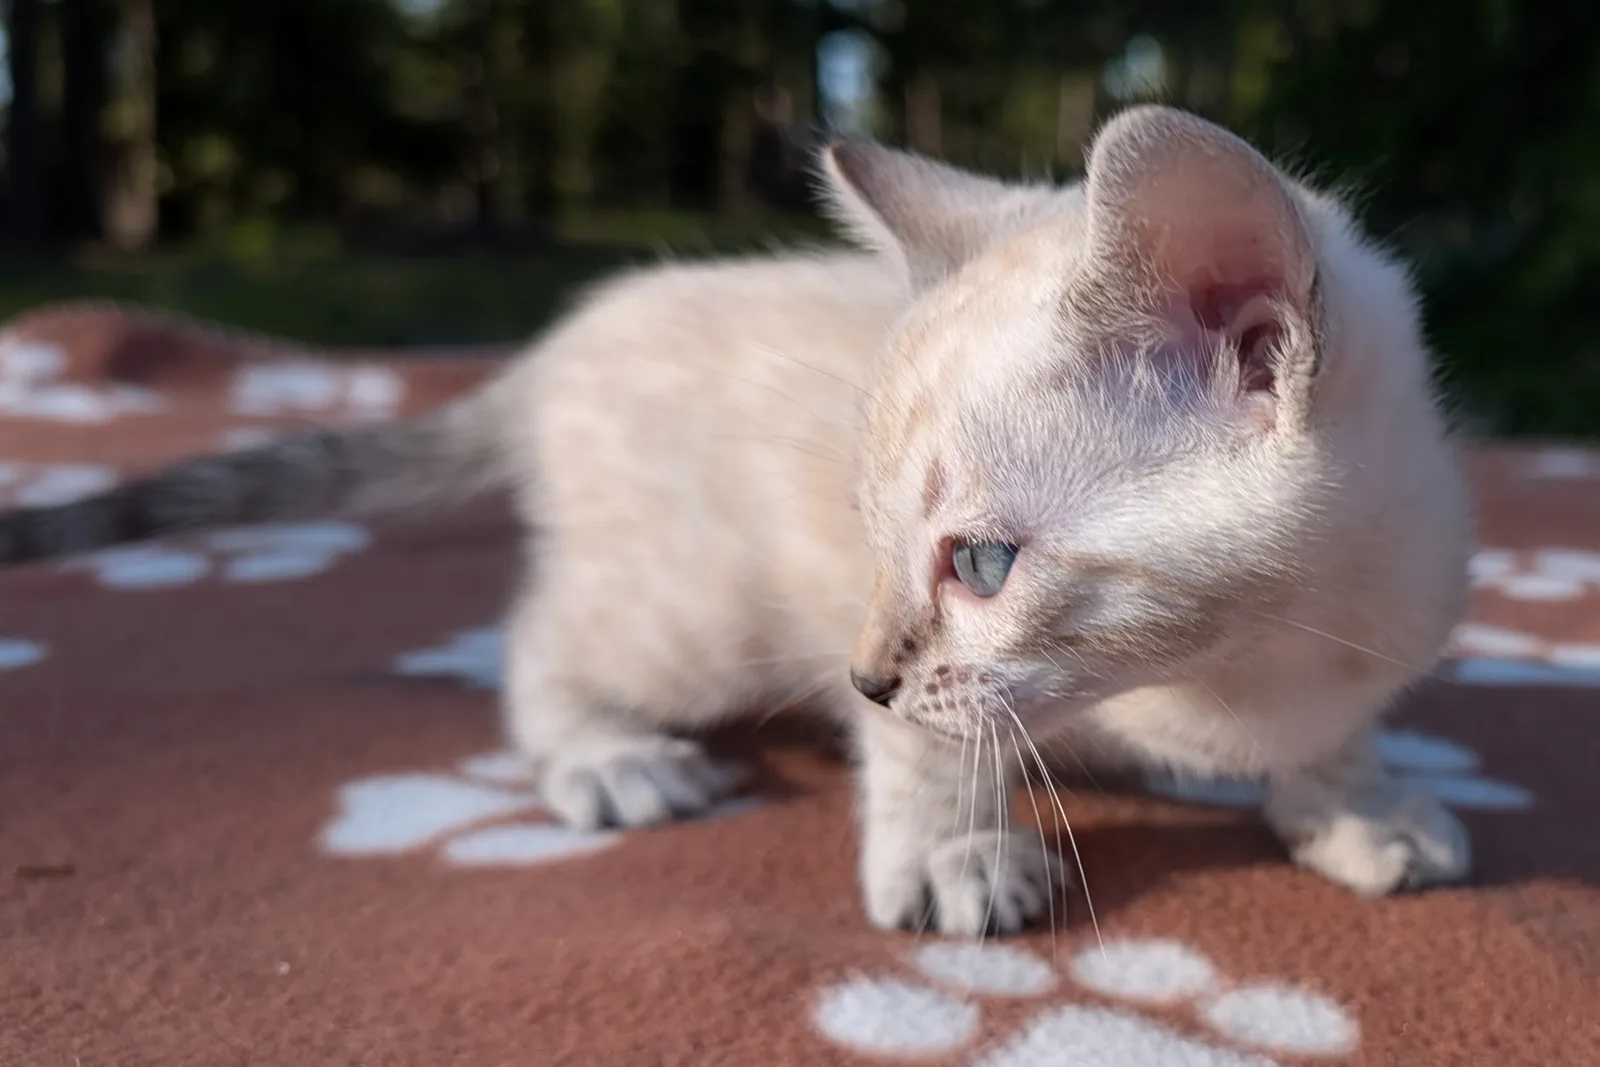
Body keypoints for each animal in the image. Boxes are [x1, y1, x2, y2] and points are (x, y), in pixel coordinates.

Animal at [0, 105, 1473, 936]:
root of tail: (556, 344)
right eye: (872, 535)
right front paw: (950, 852)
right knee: (536, 639)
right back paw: (610, 760)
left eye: (982, 562)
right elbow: (929, 750)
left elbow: (1338, 736)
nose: (859, 673)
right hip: (694, 623)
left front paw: (1361, 803)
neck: (1253, 660)